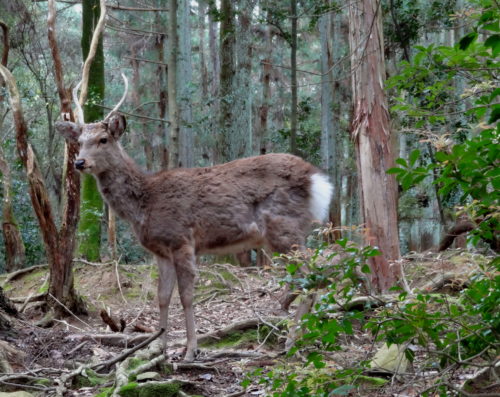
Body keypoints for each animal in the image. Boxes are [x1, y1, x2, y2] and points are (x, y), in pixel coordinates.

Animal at [56, 73, 334, 358]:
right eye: (79, 142)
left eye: (103, 139)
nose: (79, 162)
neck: (144, 205)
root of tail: (318, 180)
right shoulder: (161, 251)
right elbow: (162, 297)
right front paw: (160, 347)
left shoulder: (181, 240)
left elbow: (187, 297)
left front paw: (190, 350)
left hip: (284, 228)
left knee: (313, 276)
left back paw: (292, 341)